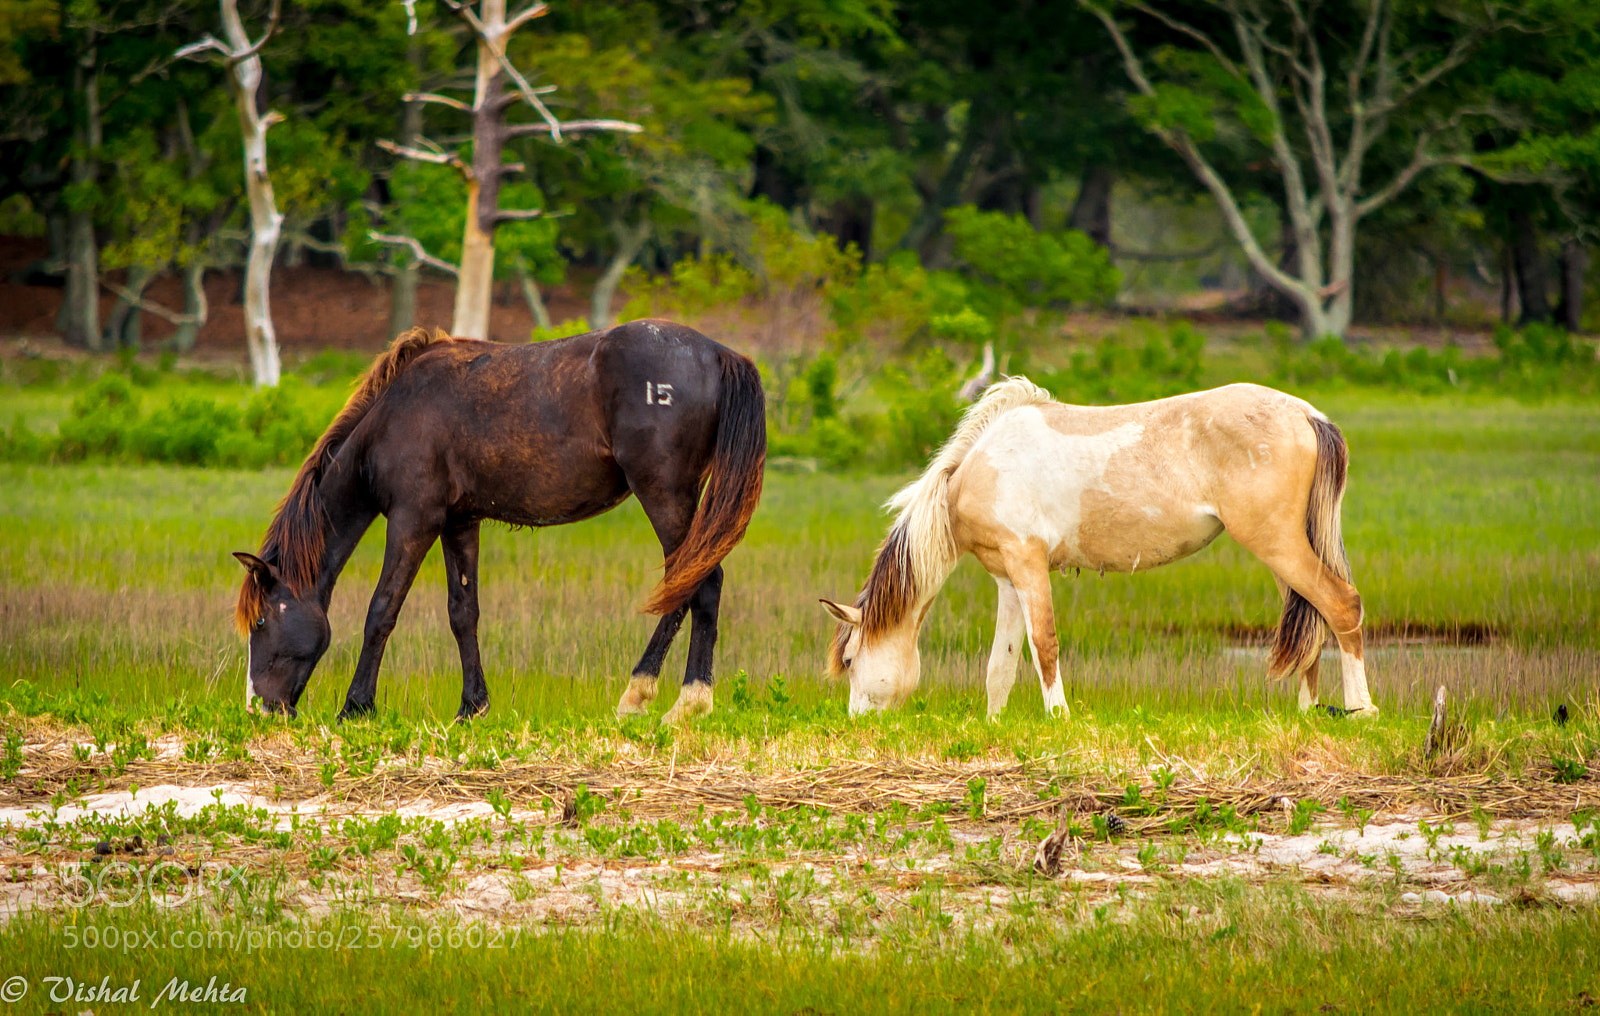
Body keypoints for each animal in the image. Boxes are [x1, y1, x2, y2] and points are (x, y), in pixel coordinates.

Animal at [232, 320, 766, 723]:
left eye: (260, 620)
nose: (259, 709)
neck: (393, 415)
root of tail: (719, 354)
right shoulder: (459, 523)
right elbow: (462, 613)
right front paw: (472, 707)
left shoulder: (413, 519)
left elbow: (382, 609)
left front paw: (356, 706)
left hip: (664, 494)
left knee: (698, 583)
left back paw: (669, 699)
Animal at [820, 377, 1376, 719]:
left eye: (848, 658)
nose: (858, 721)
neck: (980, 469)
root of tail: (1307, 414)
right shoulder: (1007, 578)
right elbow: (1001, 664)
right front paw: (994, 724)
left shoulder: (1028, 565)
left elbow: (1044, 643)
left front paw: (1060, 717)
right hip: (1282, 553)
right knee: (1308, 621)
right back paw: (1306, 712)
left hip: (1277, 544)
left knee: (1341, 606)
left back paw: (1361, 710)